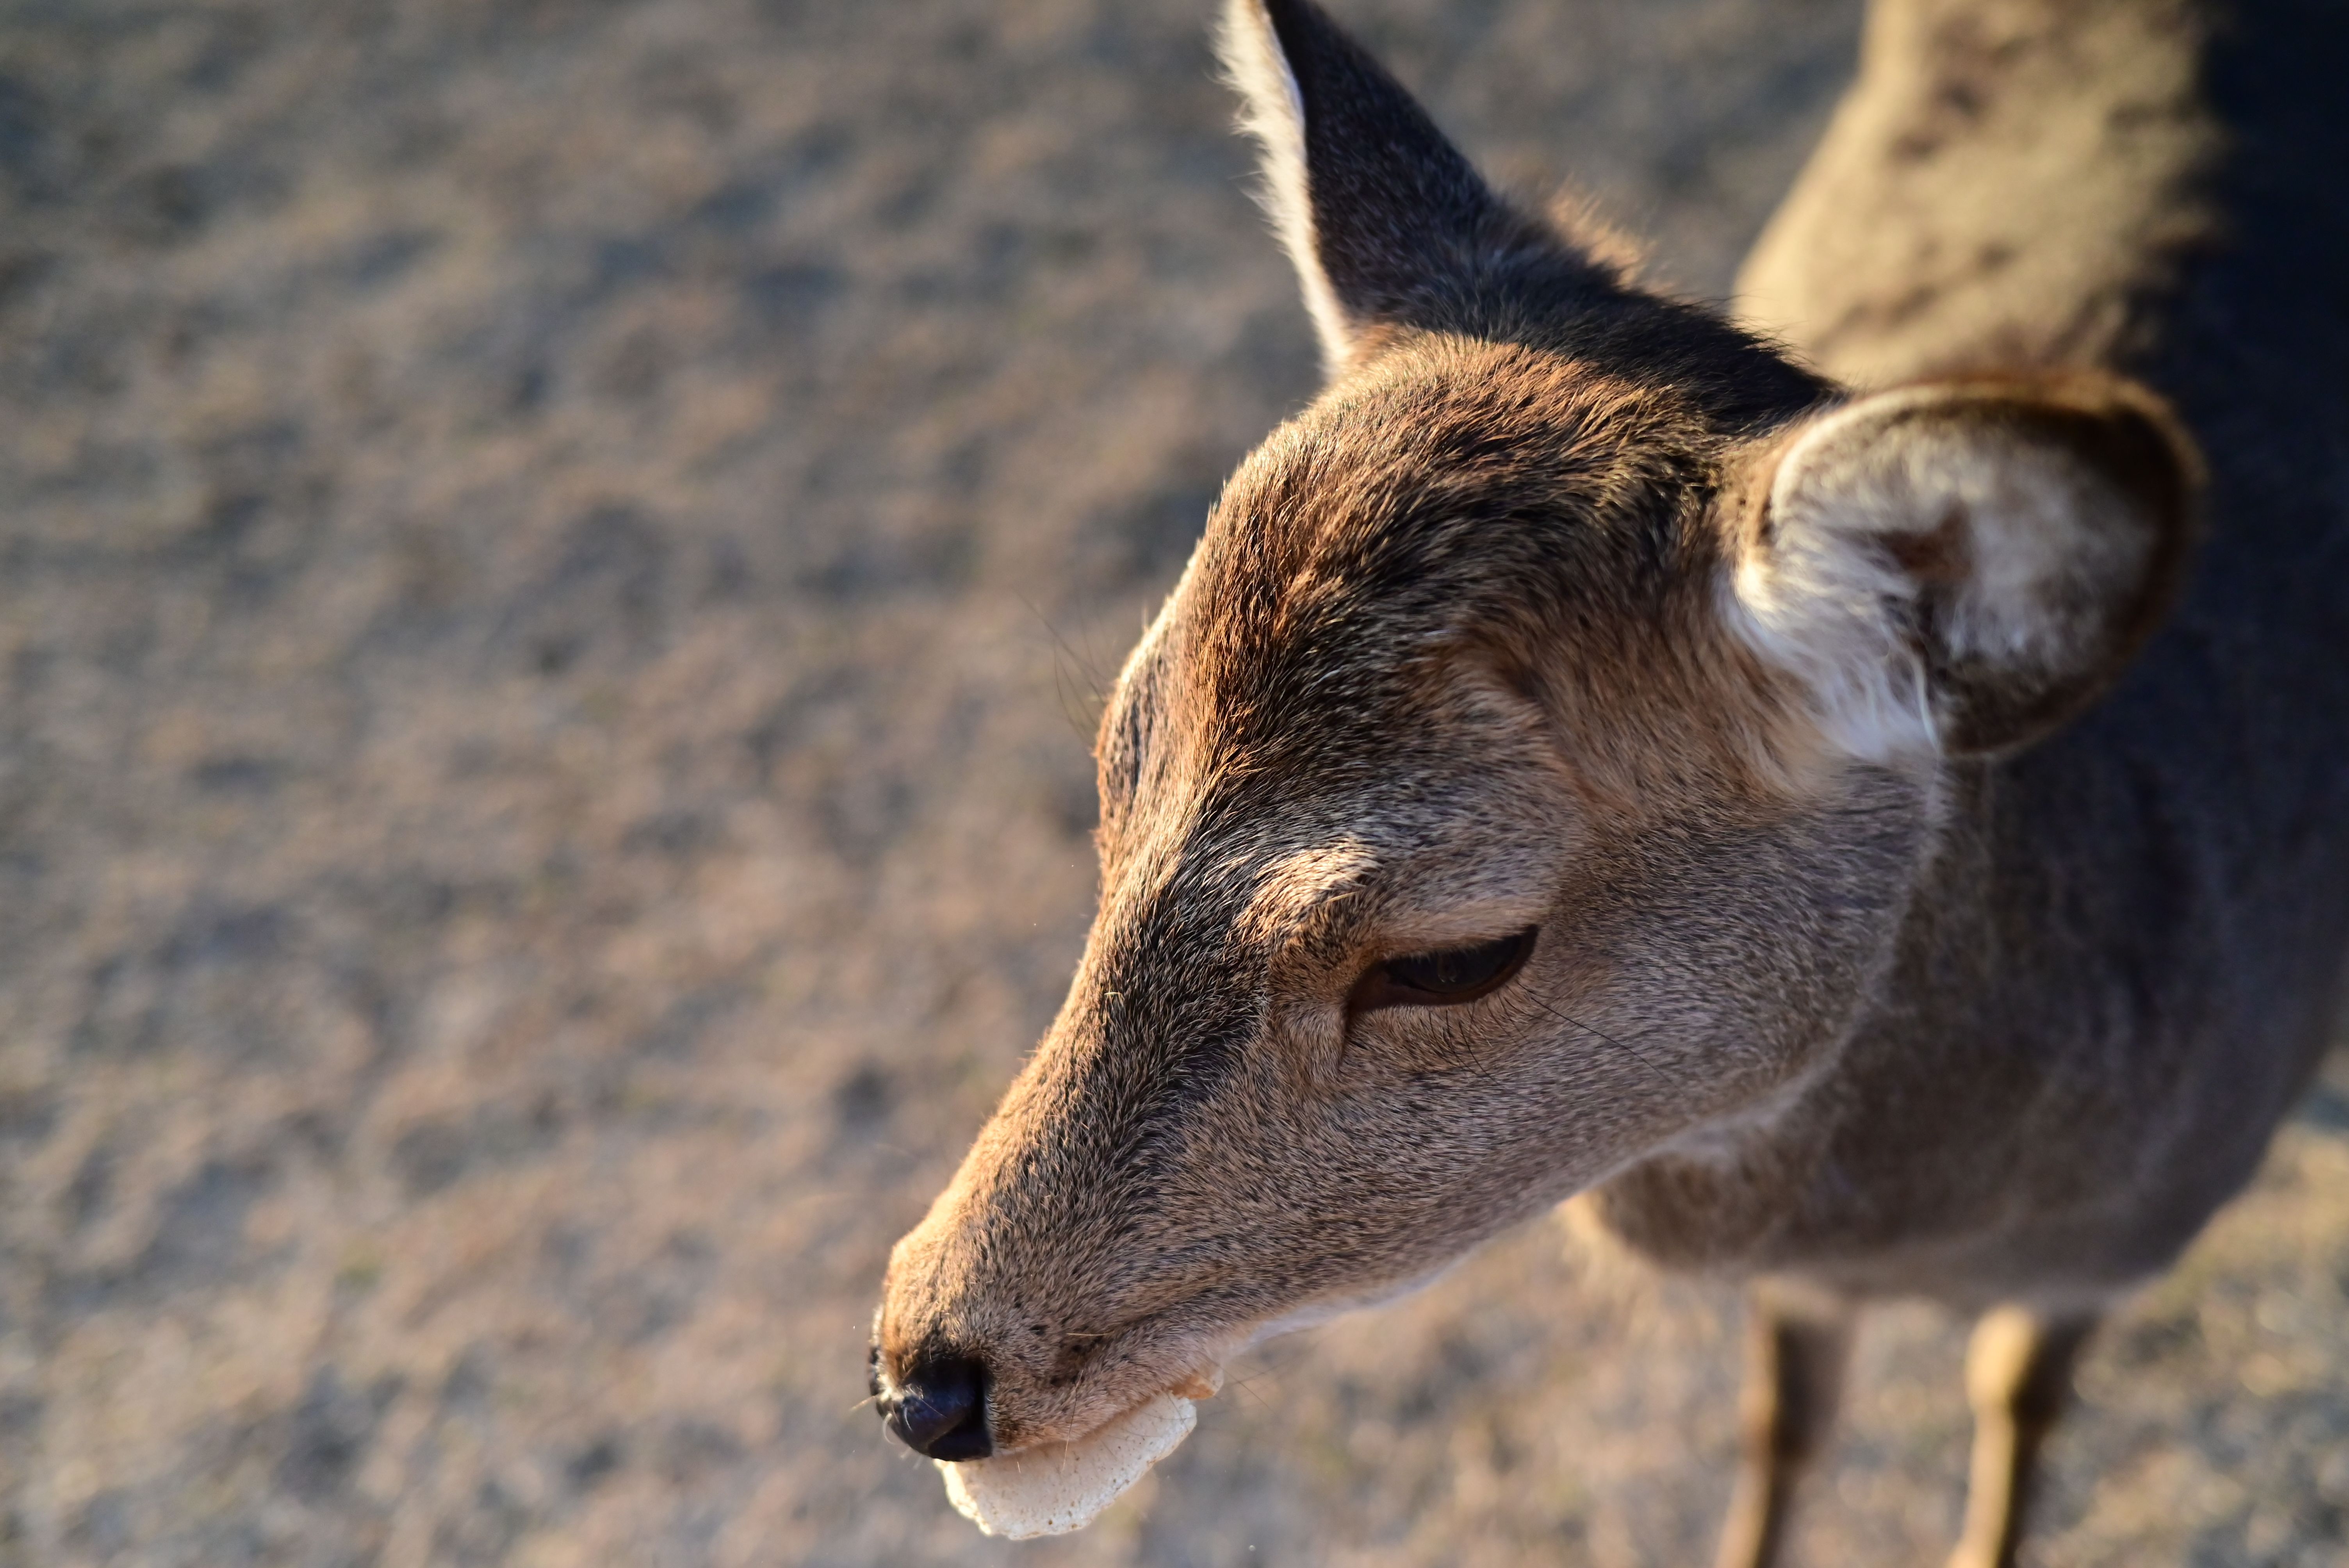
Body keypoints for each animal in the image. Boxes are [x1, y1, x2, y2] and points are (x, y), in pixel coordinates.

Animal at [870, 0, 2349, 1562]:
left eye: (1452, 955)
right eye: (1112, 769)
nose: (924, 1378)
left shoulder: (2124, 1243)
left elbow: (2014, 1411)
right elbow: (1783, 1415)